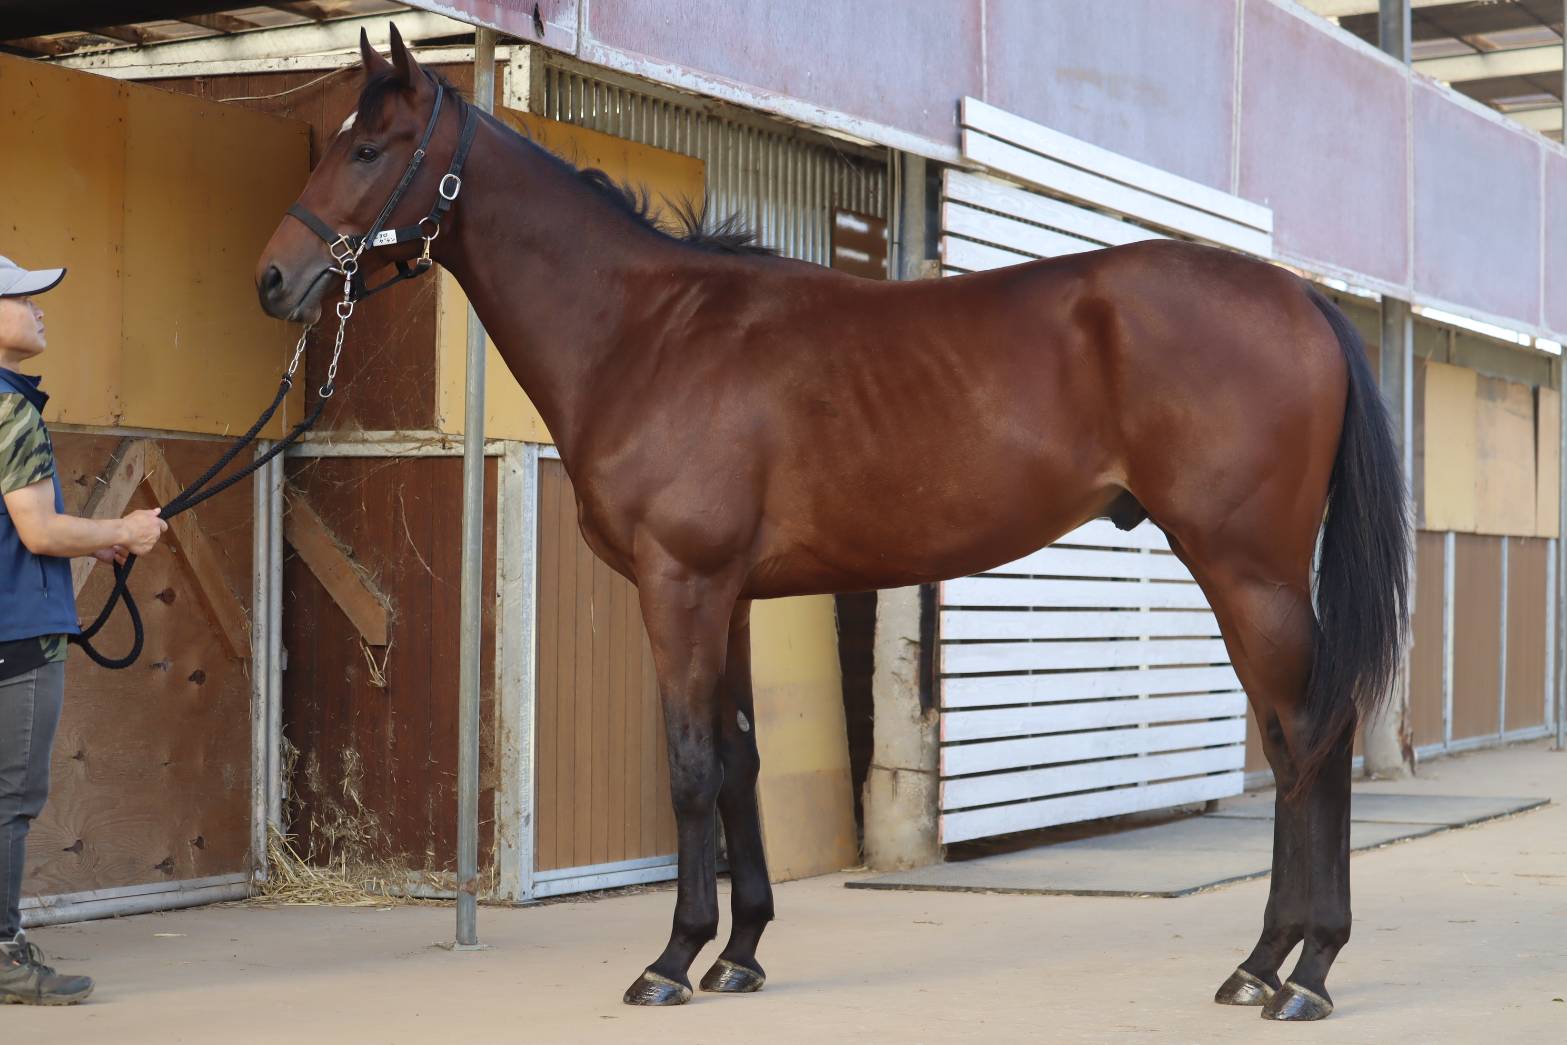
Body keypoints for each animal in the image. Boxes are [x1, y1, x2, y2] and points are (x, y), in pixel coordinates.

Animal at [256, 27, 1409, 1022]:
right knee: (1295, 738)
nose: (273, 279)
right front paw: (739, 952)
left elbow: (689, 765)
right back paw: (1263, 965)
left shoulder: (679, 585)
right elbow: (738, 759)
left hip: (1245, 568)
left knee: (1312, 736)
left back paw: (1303, 971)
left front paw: (670, 959)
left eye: (368, 148)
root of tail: (1299, 300)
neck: (645, 333)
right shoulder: (723, 598)